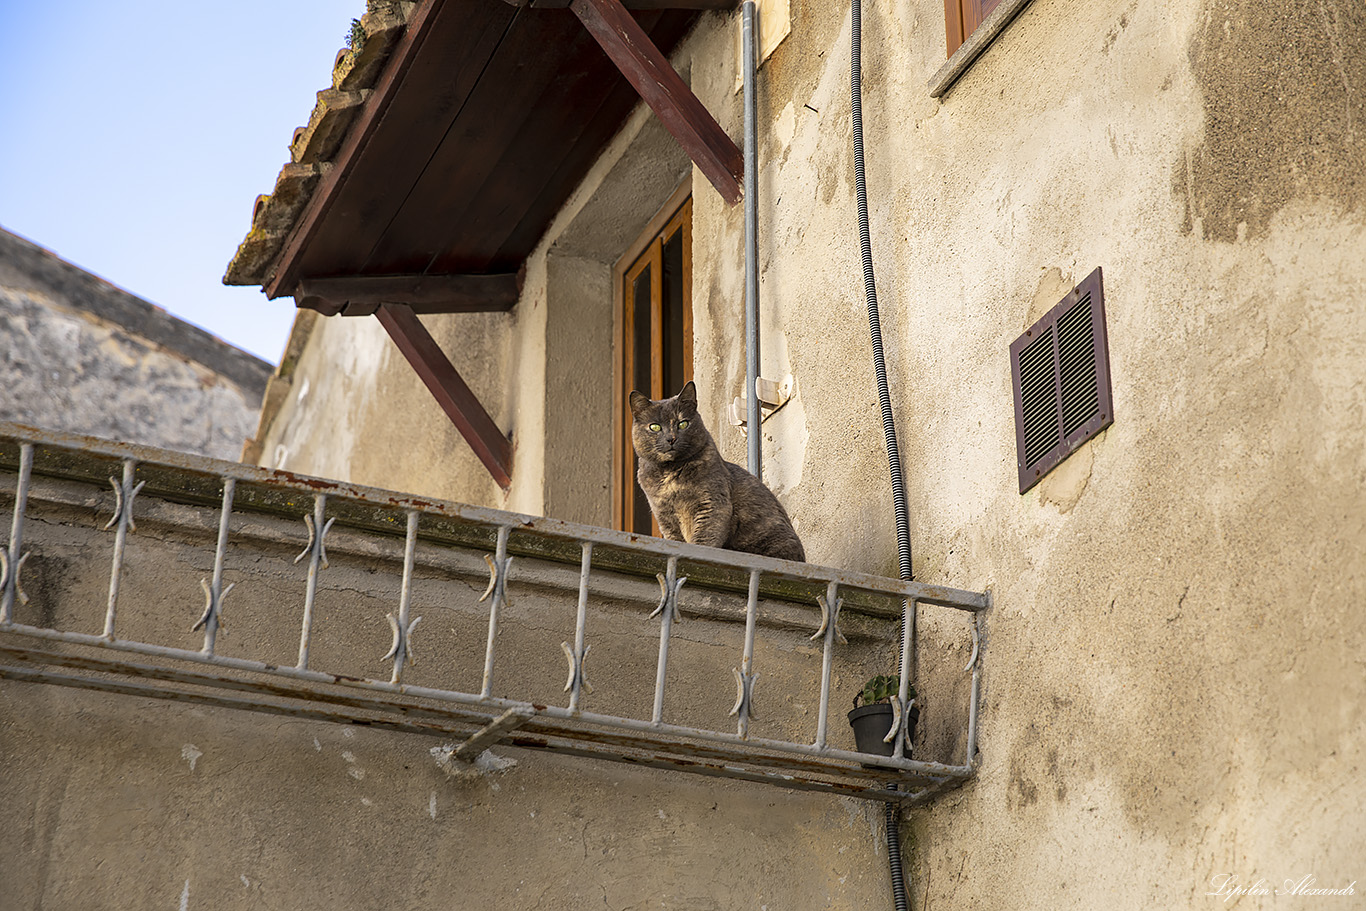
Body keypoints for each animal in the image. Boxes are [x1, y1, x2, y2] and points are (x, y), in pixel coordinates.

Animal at [631, 379, 808, 562]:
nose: (671, 438)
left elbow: (704, 540)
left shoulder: (712, 503)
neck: (671, 473)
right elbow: (676, 539)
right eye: (655, 427)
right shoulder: (665, 517)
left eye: (683, 423)